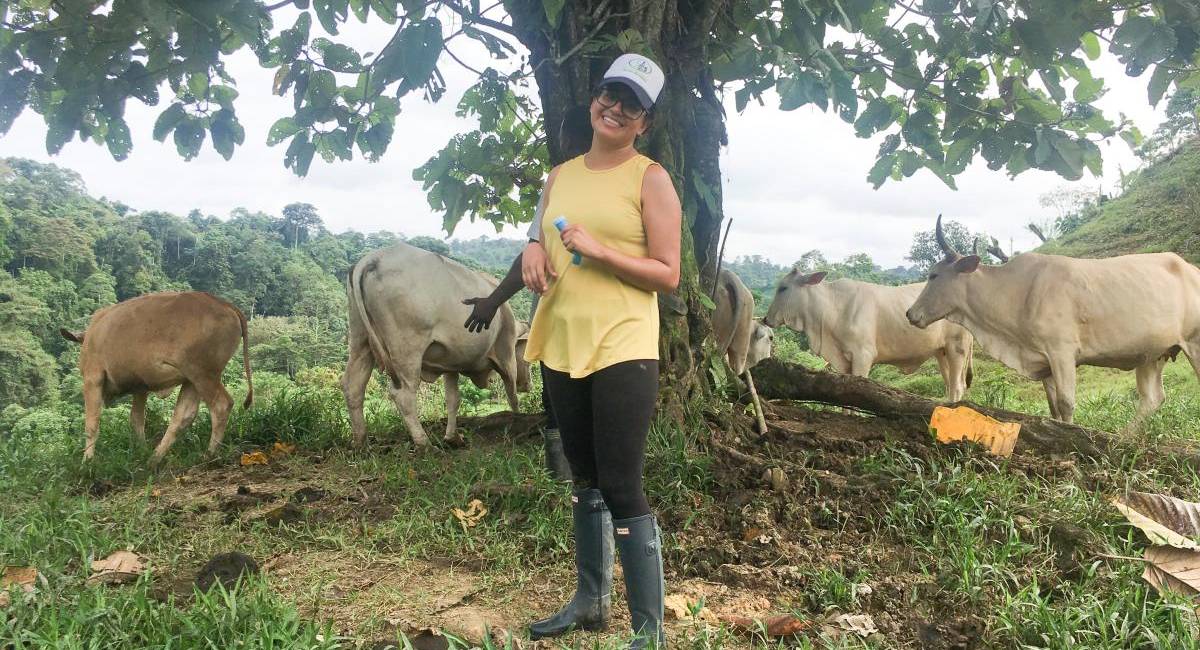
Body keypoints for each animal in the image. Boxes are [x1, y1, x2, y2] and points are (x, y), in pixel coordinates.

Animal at [59, 292, 252, 465]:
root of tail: (224, 304)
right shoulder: (140, 386)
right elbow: (136, 419)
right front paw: (141, 449)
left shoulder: (92, 377)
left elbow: (91, 424)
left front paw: (87, 461)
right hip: (192, 378)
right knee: (184, 415)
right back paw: (155, 458)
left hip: (203, 374)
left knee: (221, 405)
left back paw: (209, 455)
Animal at [338, 242, 525, 450]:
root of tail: (373, 258)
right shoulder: (506, 353)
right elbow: (512, 394)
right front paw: (518, 420)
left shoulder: (451, 363)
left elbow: (453, 399)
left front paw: (453, 438)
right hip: (407, 347)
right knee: (403, 395)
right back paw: (424, 444)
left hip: (360, 338)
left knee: (353, 386)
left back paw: (360, 442)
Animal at [763, 269, 979, 402]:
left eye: (783, 288)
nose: (766, 318)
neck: (832, 308)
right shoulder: (845, 362)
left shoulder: (863, 356)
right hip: (942, 352)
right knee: (950, 385)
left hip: (957, 348)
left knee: (957, 387)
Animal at [902, 213, 1200, 426]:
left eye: (933, 275)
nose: (910, 314)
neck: (1017, 292)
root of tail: (1190, 268)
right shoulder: (1044, 362)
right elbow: (1054, 406)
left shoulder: (1062, 353)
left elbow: (1067, 403)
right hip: (1152, 354)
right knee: (1152, 399)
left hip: (1194, 344)